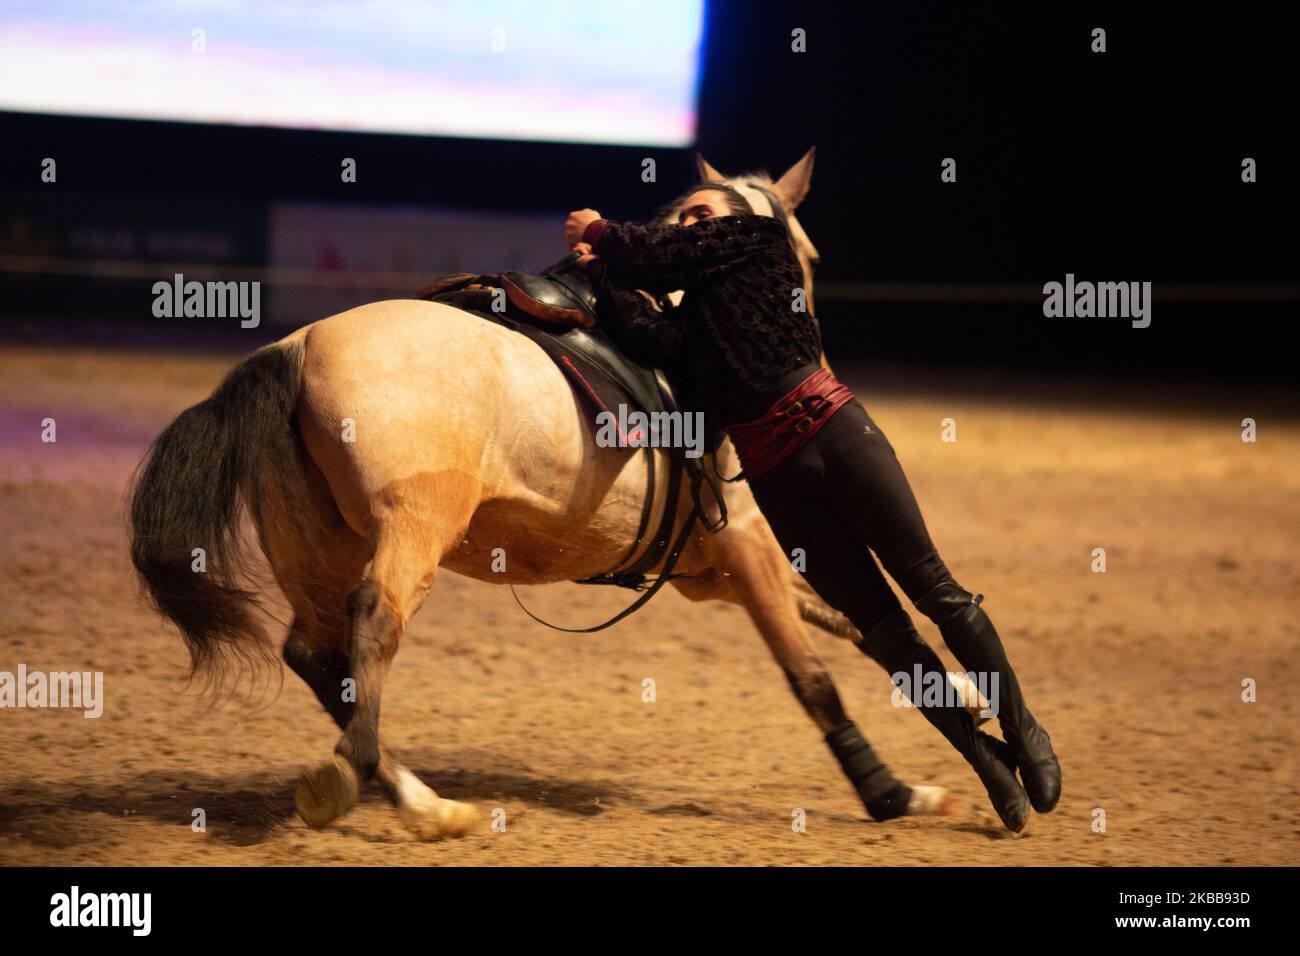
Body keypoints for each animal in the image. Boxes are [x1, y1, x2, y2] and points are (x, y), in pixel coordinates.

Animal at [129, 150, 964, 839]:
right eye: (809, 253)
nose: (815, 350)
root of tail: (295, 347)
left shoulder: (710, 571)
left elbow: (848, 622)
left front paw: (967, 698)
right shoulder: (743, 545)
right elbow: (813, 675)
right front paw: (893, 794)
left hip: (314, 550)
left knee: (317, 655)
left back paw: (425, 803)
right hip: (411, 532)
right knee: (374, 625)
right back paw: (372, 784)